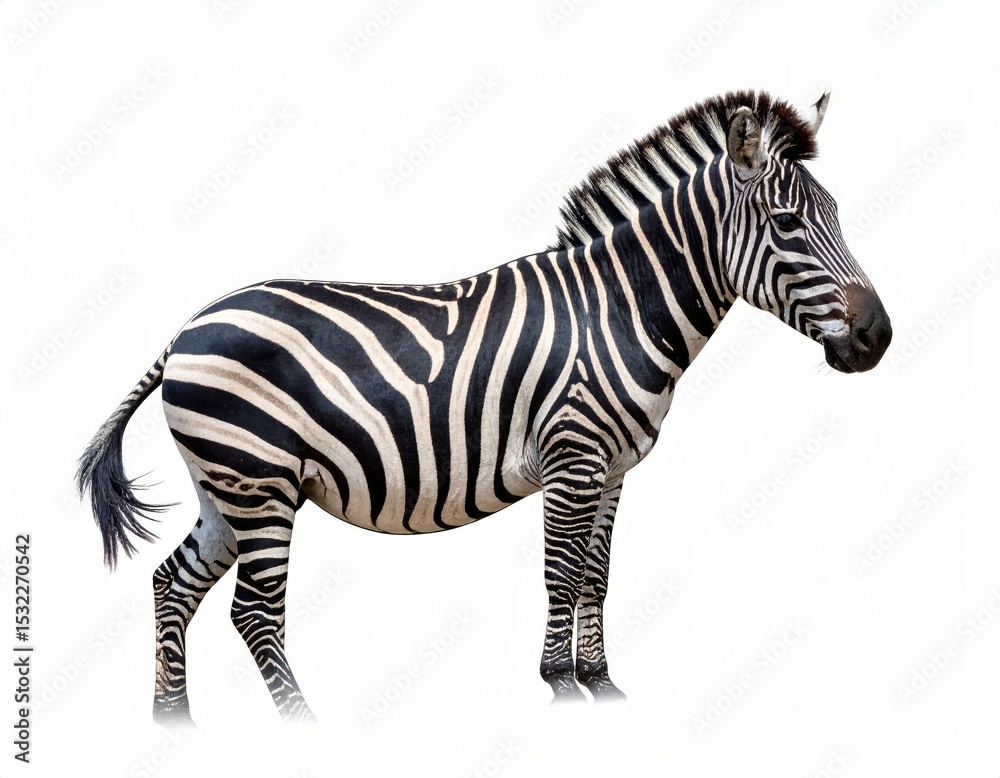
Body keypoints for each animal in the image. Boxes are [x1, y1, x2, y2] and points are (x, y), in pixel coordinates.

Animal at [77, 90, 891, 724]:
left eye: (837, 213)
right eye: (788, 224)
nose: (877, 337)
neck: (619, 310)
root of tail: (185, 330)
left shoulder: (613, 469)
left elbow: (596, 576)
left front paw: (602, 686)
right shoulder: (571, 456)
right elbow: (561, 572)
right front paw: (562, 686)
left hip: (227, 488)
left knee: (173, 585)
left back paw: (175, 723)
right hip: (259, 481)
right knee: (255, 610)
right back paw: (304, 726)